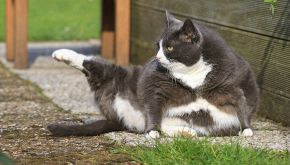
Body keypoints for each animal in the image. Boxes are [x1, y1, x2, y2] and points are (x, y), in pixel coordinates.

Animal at [47, 11, 258, 138]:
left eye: (169, 47)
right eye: (158, 46)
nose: (156, 58)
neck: (193, 75)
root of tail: (120, 118)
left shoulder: (236, 84)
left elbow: (243, 105)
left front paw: (246, 130)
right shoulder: (154, 85)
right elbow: (153, 106)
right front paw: (152, 132)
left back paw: (186, 133)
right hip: (116, 75)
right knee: (93, 65)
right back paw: (61, 53)